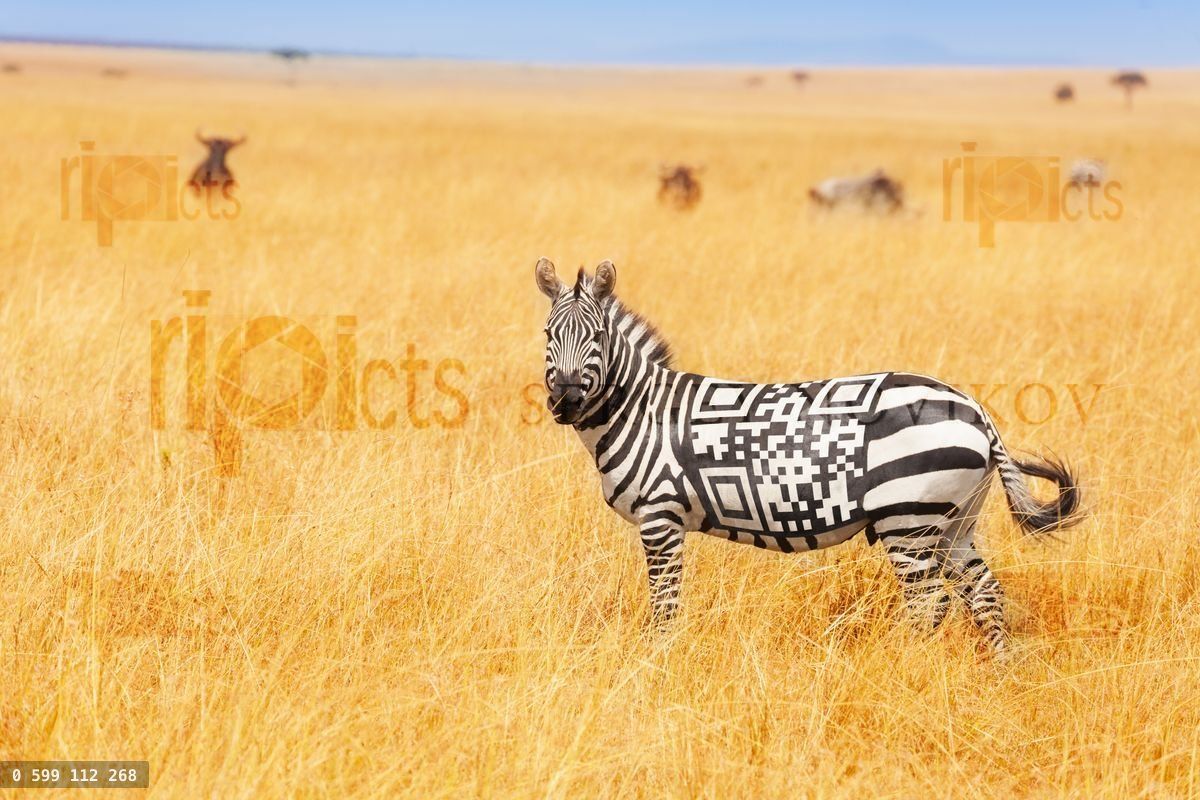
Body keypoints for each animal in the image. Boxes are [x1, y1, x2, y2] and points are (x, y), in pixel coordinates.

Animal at [535, 258, 1082, 655]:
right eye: (548, 336)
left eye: (597, 337)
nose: (566, 400)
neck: (642, 409)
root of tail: (975, 409)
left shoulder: (660, 518)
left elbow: (664, 606)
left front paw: (659, 661)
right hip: (955, 521)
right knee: (983, 593)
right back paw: (999, 673)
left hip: (908, 519)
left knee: (929, 605)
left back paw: (908, 673)